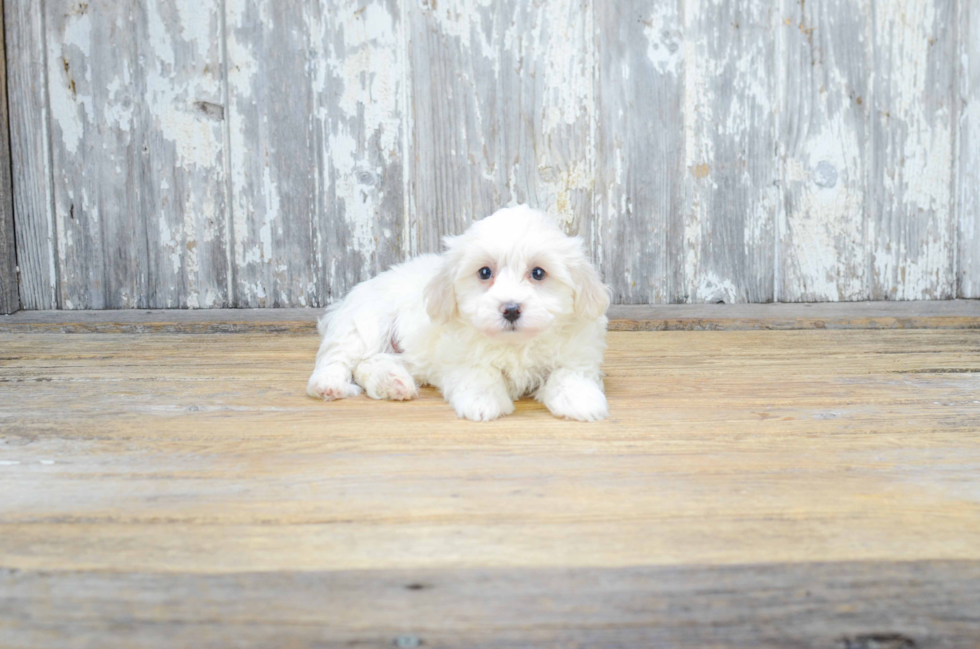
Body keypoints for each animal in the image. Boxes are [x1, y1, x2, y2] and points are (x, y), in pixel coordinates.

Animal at [308, 205, 612, 422]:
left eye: (538, 273)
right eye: (484, 272)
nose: (511, 309)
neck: (515, 344)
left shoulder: (576, 353)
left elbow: (568, 374)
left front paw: (581, 401)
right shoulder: (457, 354)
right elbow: (479, 372)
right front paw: (484, 402)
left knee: (370, 363)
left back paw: (394, 383)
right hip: (366, 322)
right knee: (340, 359)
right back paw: (329, 385)